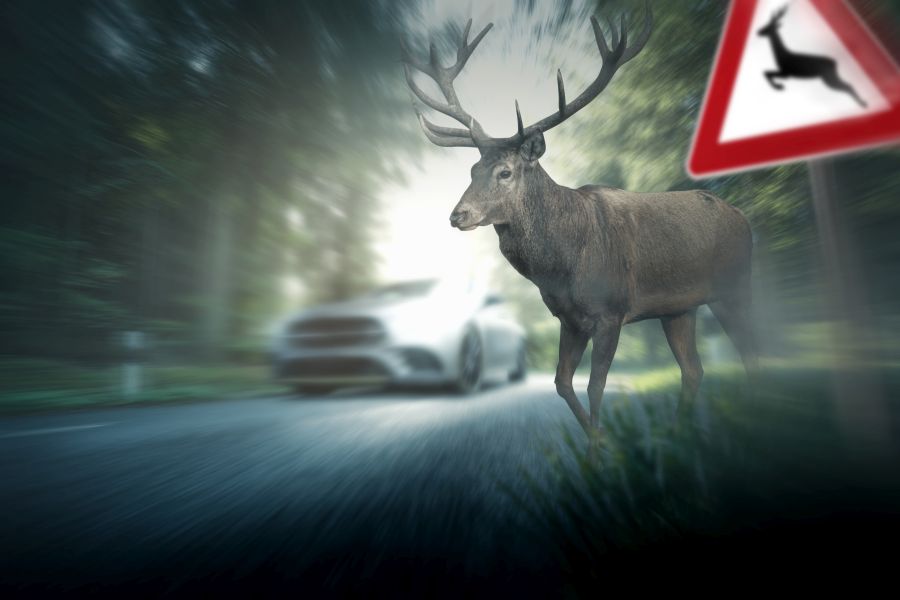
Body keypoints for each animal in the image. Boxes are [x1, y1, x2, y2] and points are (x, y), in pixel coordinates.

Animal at [402, 5, 760, 440]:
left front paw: (602, 446)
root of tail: (744, 218)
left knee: (753, 354)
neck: (562, 265)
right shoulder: (568, 319)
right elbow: (561, 382)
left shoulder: (611, 311)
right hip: (680, 309)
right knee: (693, 369)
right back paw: (680, 434)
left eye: (505, 172)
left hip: (735, 287)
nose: (458, 215)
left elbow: (595, 385)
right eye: (472, 169)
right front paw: (599, 443)